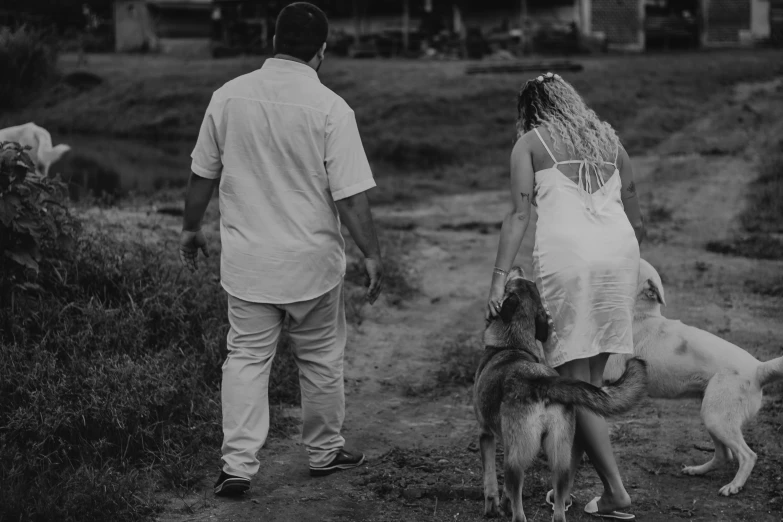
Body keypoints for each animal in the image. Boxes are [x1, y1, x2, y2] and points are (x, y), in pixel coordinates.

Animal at [608, 258, 783, 494]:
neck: (640, 315)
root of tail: (758, 368)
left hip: (715, 418)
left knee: (748, 456)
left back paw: (733, 486)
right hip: (711, 418)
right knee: (724, 455)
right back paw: (698, 471)